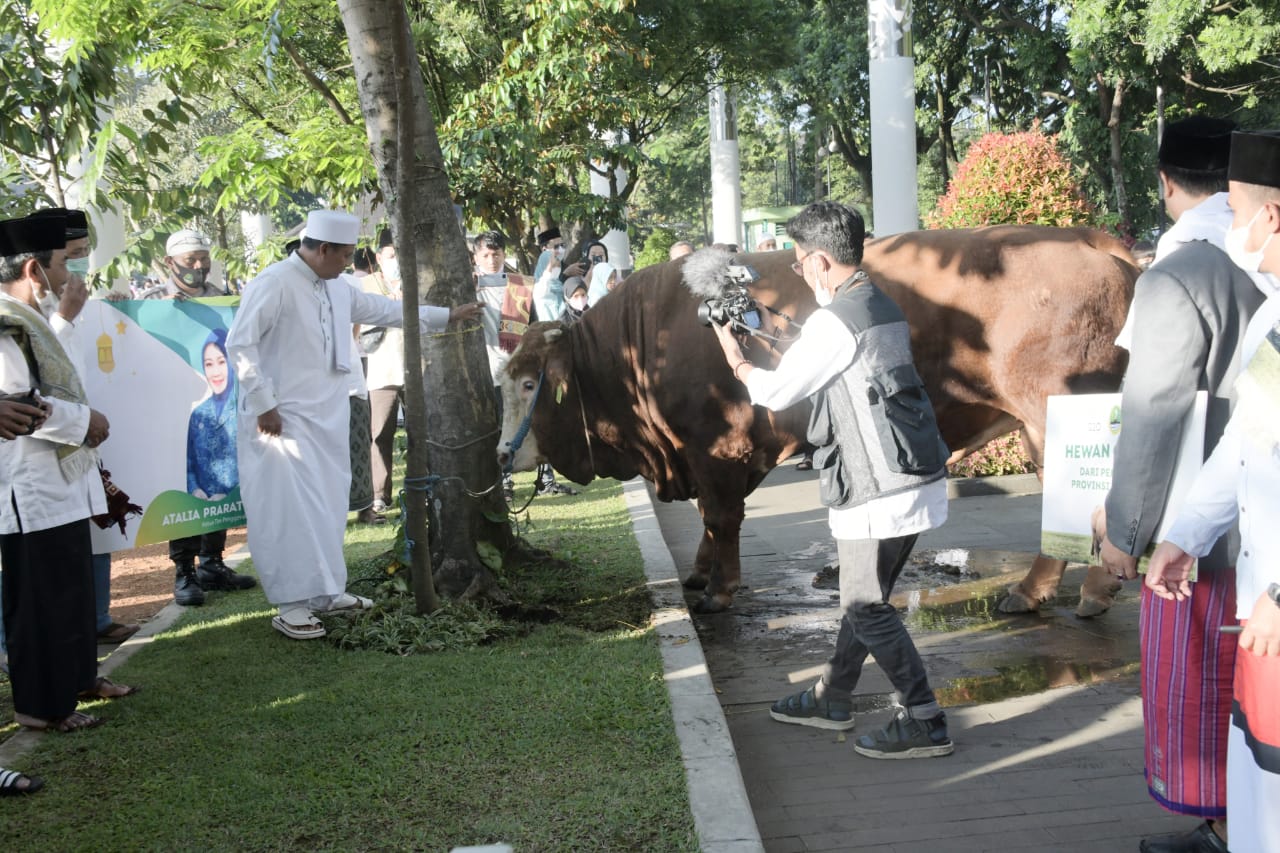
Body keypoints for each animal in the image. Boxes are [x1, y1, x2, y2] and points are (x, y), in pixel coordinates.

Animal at [494, 225, 1136, 612]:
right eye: (503, 380)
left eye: (529, 384)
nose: (502, 453)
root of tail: (1089, 240)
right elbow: (709, 521)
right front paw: (700, 573)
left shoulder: (717, 448)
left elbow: (721, 518)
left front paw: (720, 589)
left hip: (1055, 414)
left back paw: (1046, 591)